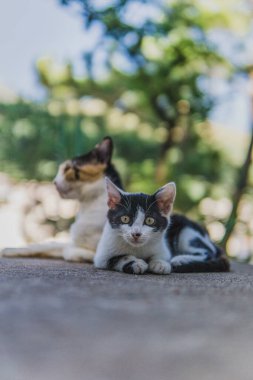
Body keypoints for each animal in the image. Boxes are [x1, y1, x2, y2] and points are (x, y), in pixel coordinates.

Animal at [94, 178, 229, 274]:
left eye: (149, 220)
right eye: (125, 219)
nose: (136, 234)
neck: (137, 249)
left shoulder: (163, 247)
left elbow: (161, 256)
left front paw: (160, 263)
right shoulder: (101, 256)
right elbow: (117, 258)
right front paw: (136, 263)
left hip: (187, 233)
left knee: (208, 252)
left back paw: (180, 259)